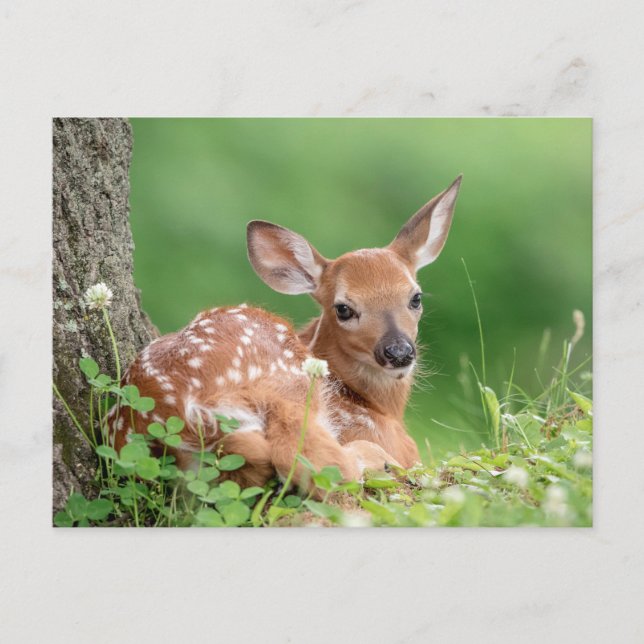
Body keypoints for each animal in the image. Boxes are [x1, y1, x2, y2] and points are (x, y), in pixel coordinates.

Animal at [110, 175, 462, 493]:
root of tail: (186, 413)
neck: (377, 405)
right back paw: (376, 460)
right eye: (343, 309)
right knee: (314, 461)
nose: (398, 352)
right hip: (288, 385)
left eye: (415, 297)